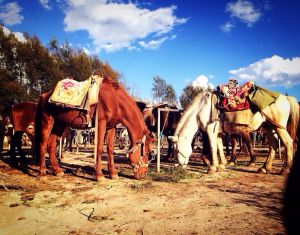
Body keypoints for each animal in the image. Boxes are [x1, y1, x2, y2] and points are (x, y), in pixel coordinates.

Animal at [170, 90, 298, 174]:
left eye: (177, 150)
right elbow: (220, 147)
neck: (201, 109)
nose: (178, 166)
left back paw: (285, 169)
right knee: (274, 145)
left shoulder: (210, 130)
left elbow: (213, 148)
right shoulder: (218, 133)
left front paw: (212, 167)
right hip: (269, 127)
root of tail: (286, 98)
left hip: (279, 128)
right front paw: (221, 165)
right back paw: (264, 168)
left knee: (288, 143)